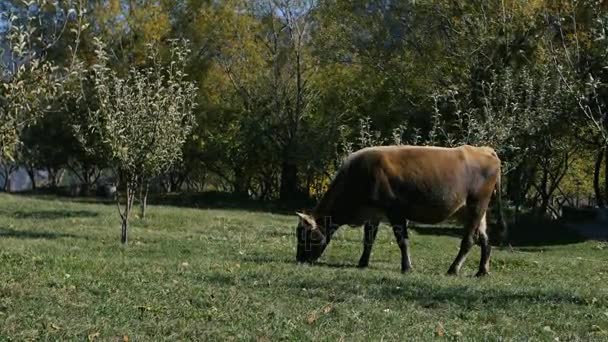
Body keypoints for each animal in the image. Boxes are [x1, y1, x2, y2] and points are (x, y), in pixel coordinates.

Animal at [294, 144, 508, 276]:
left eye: (308, 236)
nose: (299, 260)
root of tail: (485, 150)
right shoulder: (373, 214)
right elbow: (368, 240)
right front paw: (362, 263)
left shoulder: (395, 211)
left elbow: (402, 241)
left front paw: (406, 267)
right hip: (475, 211)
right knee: (485, 240)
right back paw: (482, 271)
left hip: (476, 205)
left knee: (469, 240)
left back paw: (453, 270)